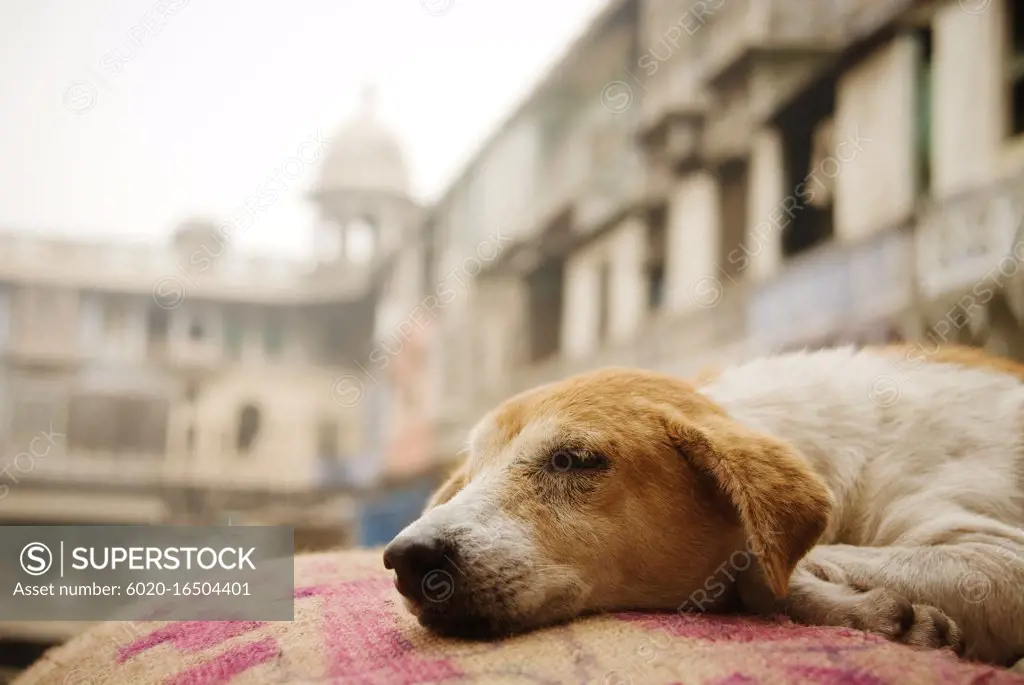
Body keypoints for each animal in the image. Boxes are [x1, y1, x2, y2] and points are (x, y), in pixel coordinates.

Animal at [385, 344, 1024, 663]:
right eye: (468, 476)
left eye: (574, 460)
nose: (408, 559)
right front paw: (874, 614)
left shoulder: (1002, 562)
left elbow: (758, 575)